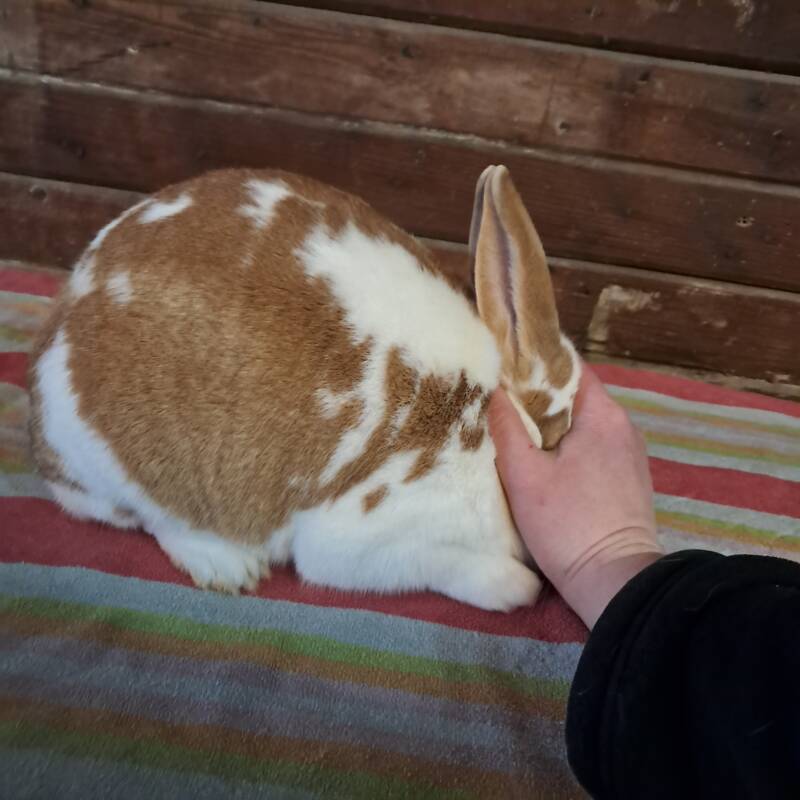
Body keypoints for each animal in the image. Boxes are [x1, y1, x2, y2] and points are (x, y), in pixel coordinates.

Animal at [28, 164, 580, 611]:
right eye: (562, 435)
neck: (486, 422)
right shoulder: (372, 535)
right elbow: (452, 569)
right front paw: (518, 586)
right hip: (116, 466)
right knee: (148, 516)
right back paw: (228, 566)